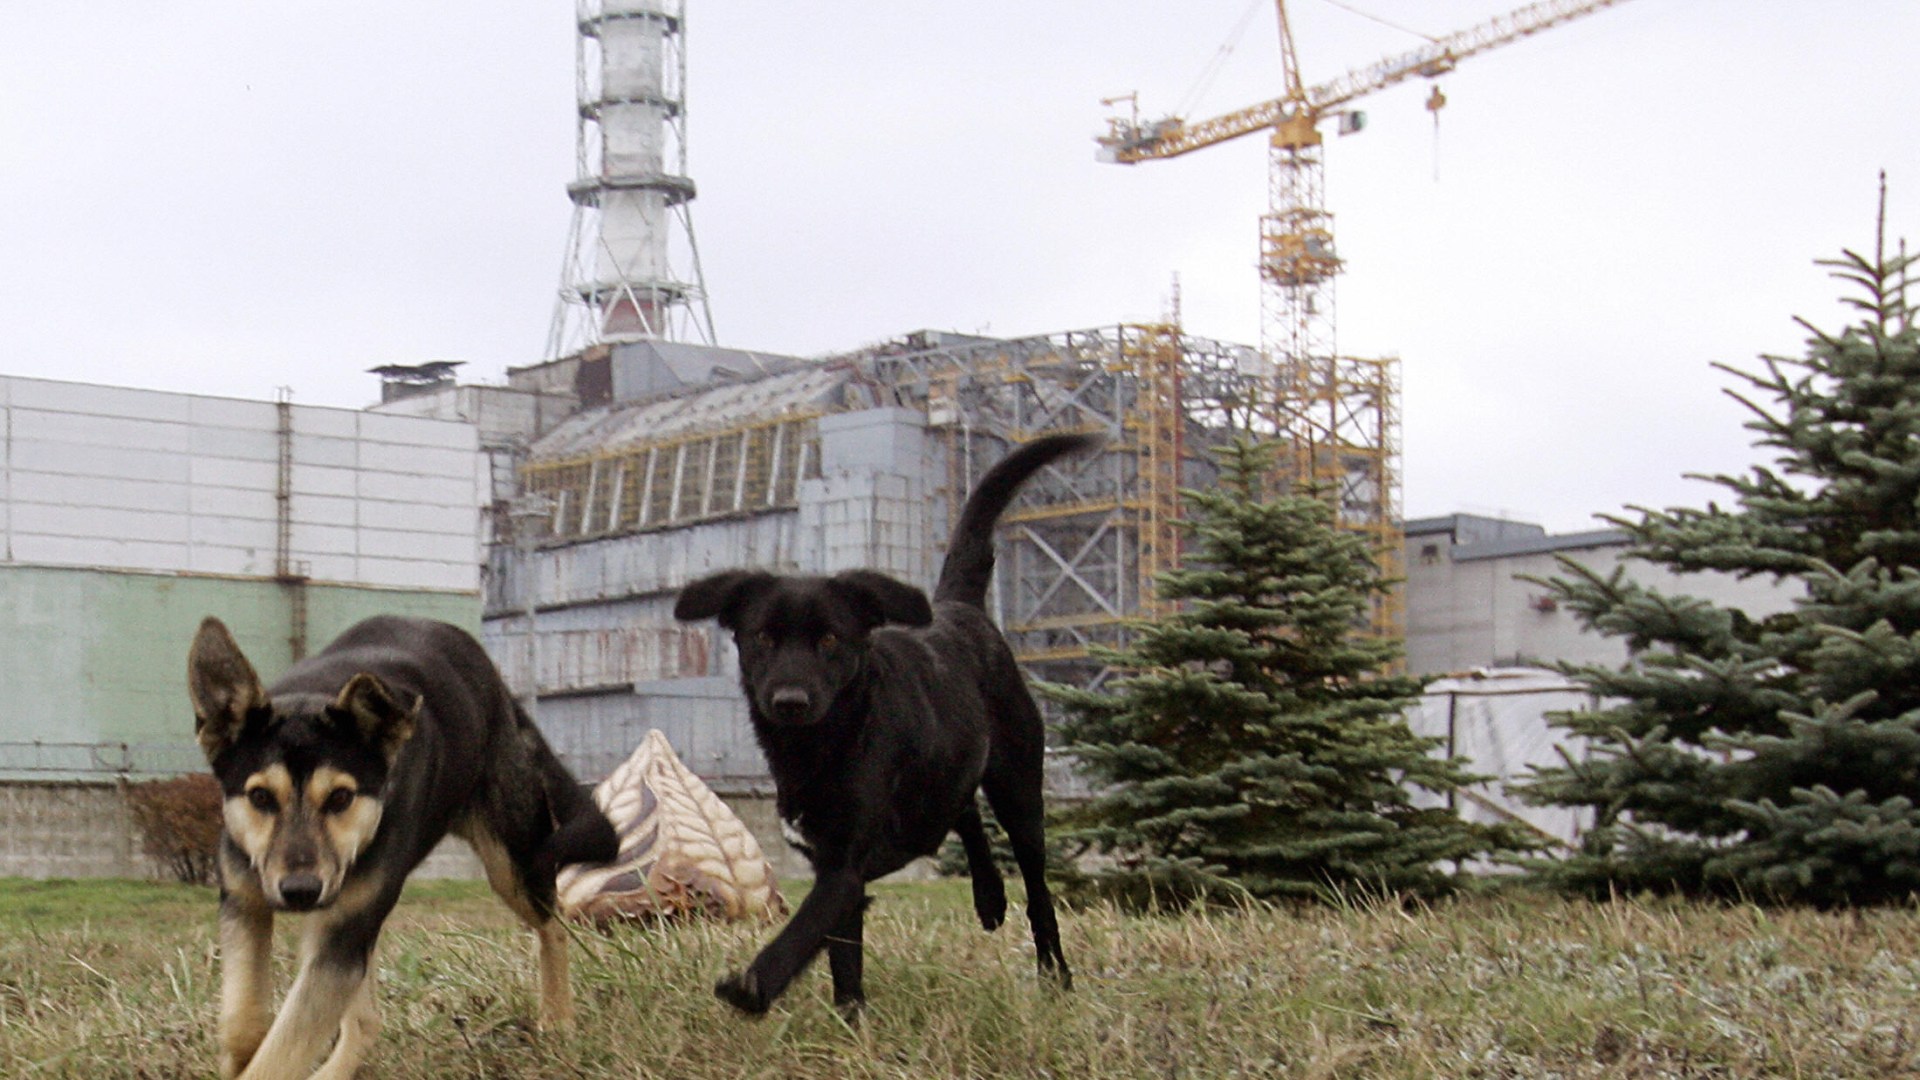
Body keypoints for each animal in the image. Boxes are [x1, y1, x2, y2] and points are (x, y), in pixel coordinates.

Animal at [188, 614, 614, 1076]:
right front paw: (240, 1055)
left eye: (341, 797)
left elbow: (282, 1050)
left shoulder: (344, 933)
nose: (300, 892)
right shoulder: (244, 903)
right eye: (261, 797)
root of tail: (500, 690)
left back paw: (557, 1019)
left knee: (553, 927)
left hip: (513, 863)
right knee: (366, 1021)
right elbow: (243, 1021)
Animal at [675, 426, 1098, 1006]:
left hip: (1019, 787)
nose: (790, 701)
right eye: (763, 636)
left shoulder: (844, 867)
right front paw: (849, 1016)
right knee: (962, 811)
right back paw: (990, 897)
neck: (826, 745)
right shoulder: (830, 862)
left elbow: (801, 931)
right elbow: (842, 957)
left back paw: (1054, 973)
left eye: (830, 639)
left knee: (1036, 887)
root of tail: (960, 608)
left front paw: (753, 986)